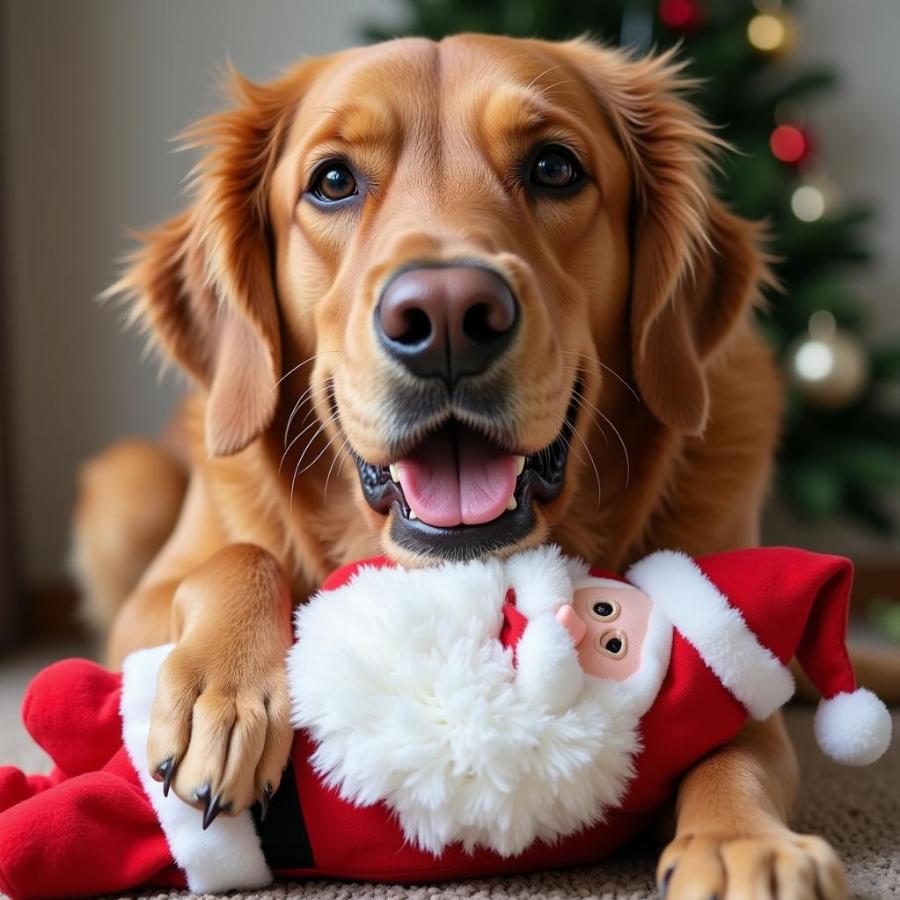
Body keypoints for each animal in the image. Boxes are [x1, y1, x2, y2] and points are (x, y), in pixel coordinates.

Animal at [74, 35, 848, 900]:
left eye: (554, 167)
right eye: (333, 181)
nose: (445, 315)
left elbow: (740, 738)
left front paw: (746, 843)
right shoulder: (139, 614)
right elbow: (238, 558)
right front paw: (222, 692)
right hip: (128, 487)